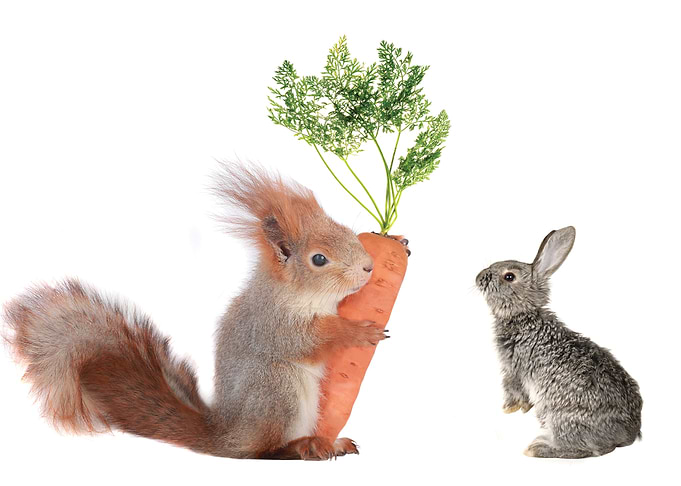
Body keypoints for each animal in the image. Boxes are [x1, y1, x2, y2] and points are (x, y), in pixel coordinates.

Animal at [476, 226, 642, 458]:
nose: (479, 277)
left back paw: (538, 448)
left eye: (509, 276)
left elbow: (513, 389)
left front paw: (509, 408)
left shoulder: (514, 367)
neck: (525, 316)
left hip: (560, 417)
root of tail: (628, 434)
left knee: (590, 449)